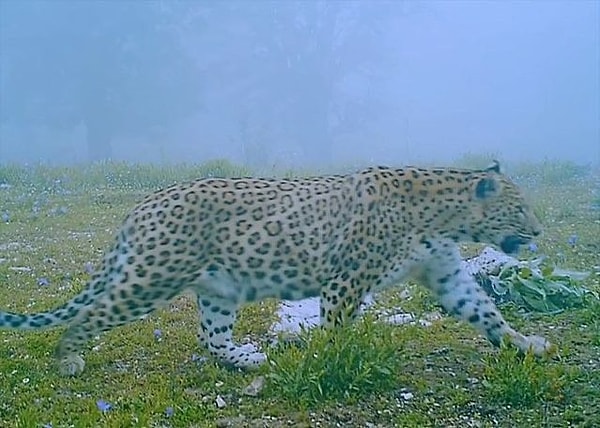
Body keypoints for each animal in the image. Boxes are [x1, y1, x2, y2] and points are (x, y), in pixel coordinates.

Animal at [0, 160, 552, 374]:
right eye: (520, 210)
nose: (539, 231)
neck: (446, 217)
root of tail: (142, 205)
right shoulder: (345, 280)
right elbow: (337, 329)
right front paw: (334, 362)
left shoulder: (446, 273)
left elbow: (484, 311)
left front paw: (524, 344)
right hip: (153, 276)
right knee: (88, 315)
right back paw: (68, 359)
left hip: (217, 288)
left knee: (211, 336)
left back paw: (248, 359)